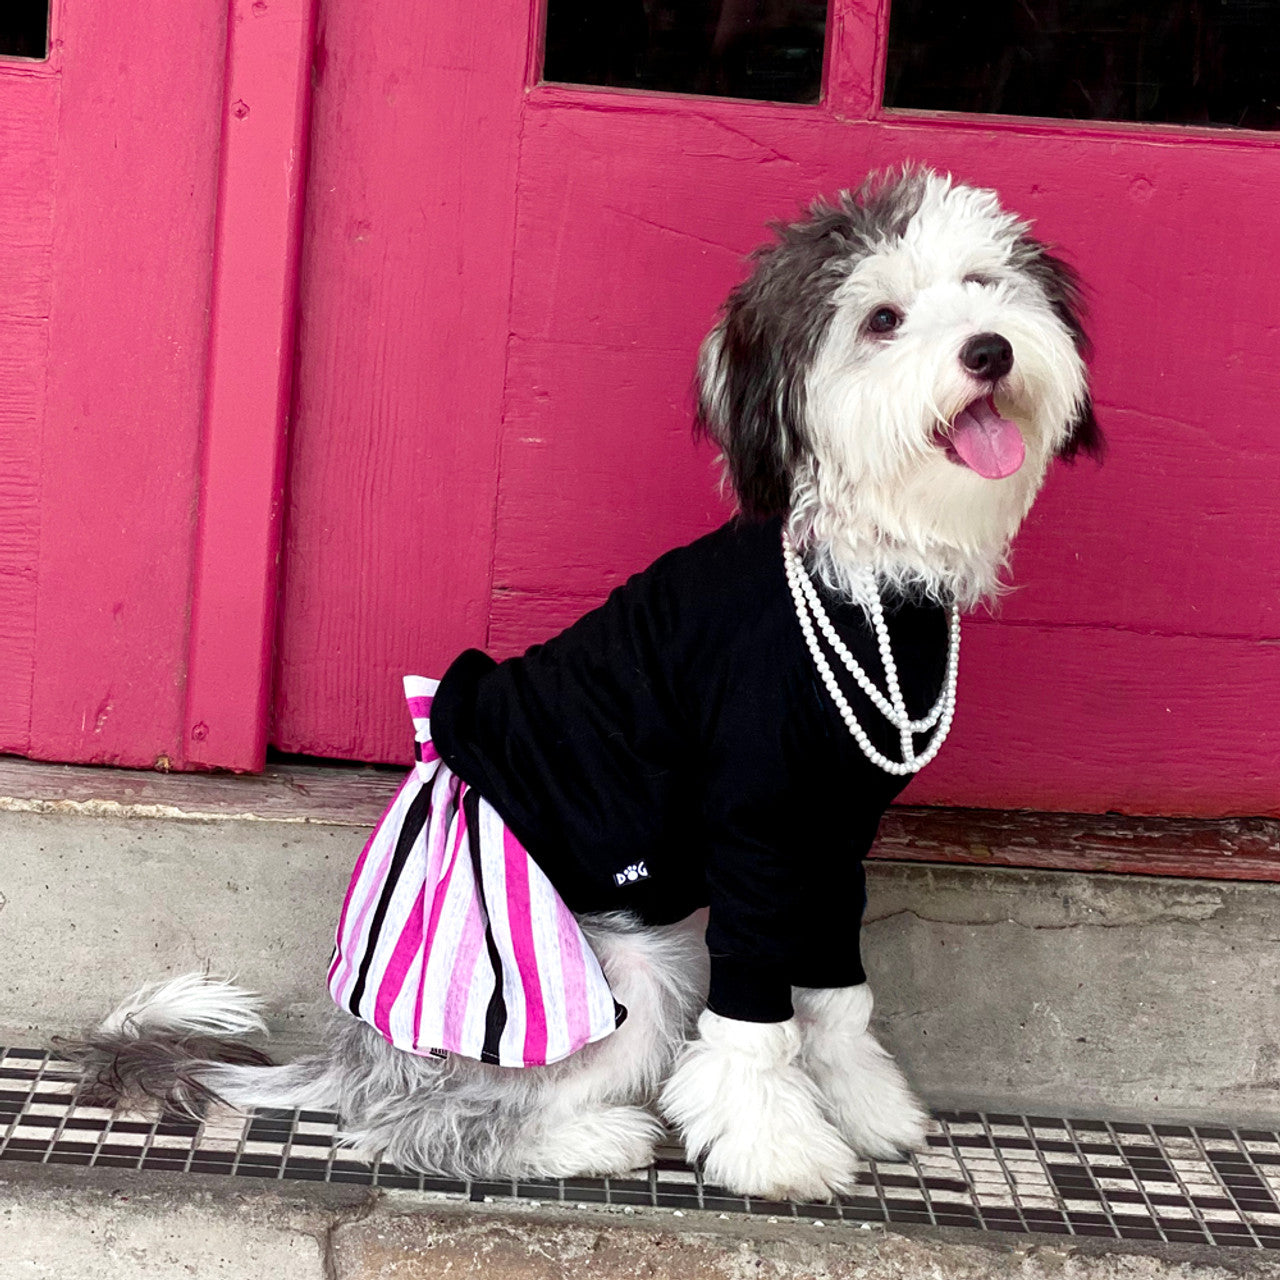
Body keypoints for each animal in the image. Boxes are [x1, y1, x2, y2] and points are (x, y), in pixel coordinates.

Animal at [64, 167, 1095, 1198]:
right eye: (883, 319)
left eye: (983, 282)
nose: (990, 349)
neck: (859, 574)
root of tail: (354, 1051)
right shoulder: (758, 836)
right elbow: (754, 1030)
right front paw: (777, 1150)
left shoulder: (833, 839)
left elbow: (837, 1001)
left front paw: (864, 1110)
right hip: (620, 973)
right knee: (415, 1125)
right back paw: (591, 1140)